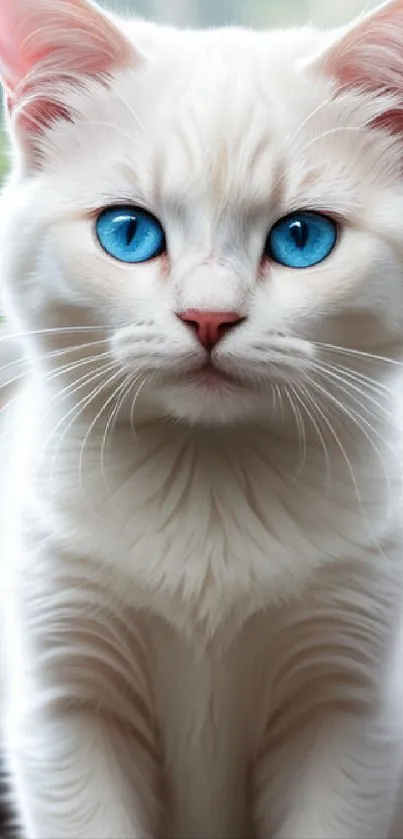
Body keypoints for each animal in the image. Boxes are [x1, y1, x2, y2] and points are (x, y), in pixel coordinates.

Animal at [0, 0, 403, 836]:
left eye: (301, 238)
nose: (209, 317)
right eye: (128, 232)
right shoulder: (66, 707)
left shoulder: (345, 710)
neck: (210, 485)